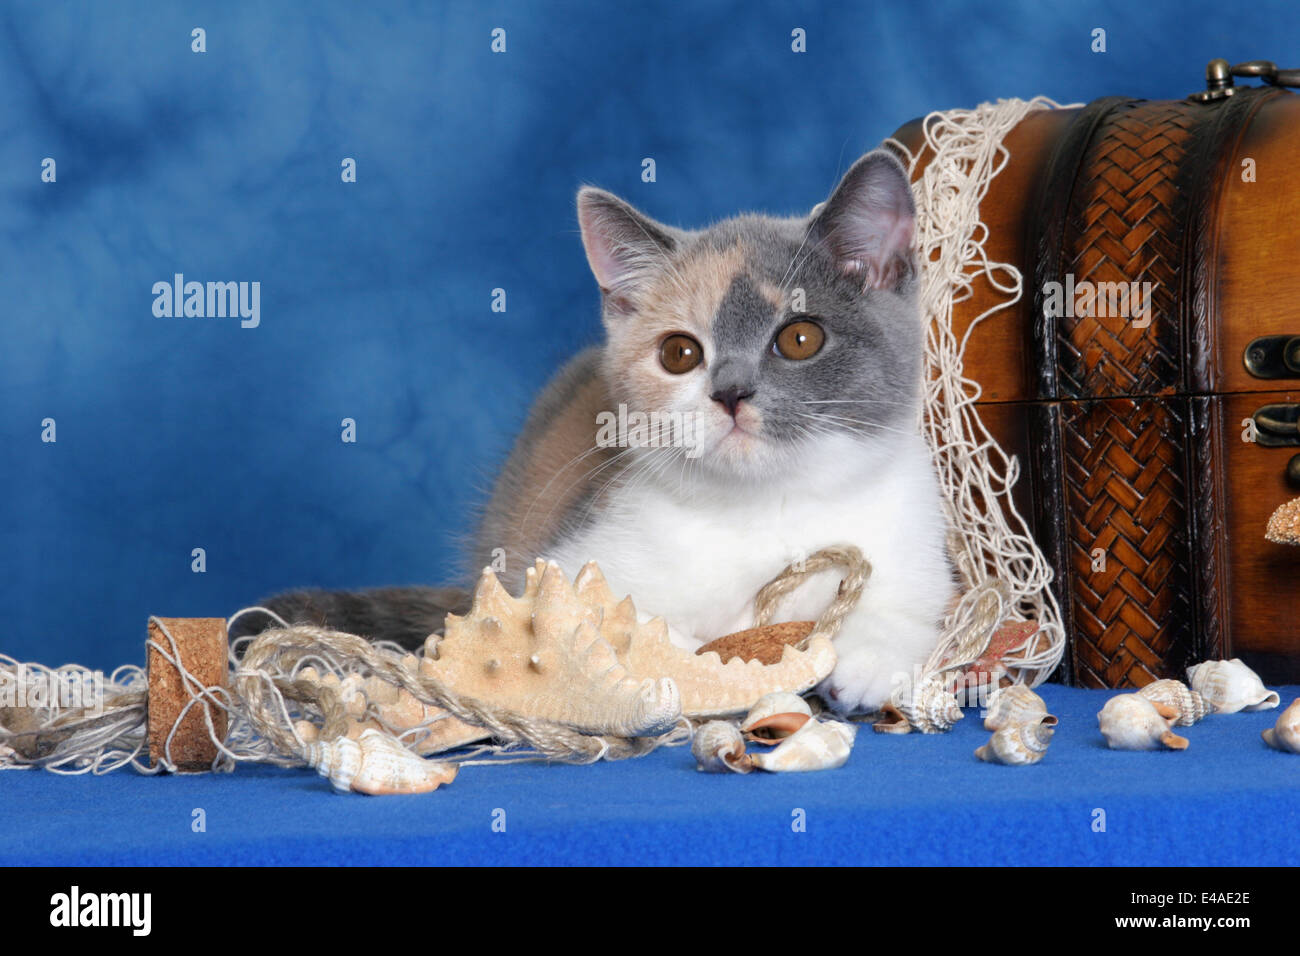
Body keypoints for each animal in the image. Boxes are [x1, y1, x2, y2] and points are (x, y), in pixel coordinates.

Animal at [245, 151, 956, 717]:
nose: (729, 393)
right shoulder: (572, 551)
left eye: (800, 338)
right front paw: (693, 654)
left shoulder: (914, 534)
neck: (769, 507)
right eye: (679, 353)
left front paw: (867, 659)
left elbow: (917, 612)